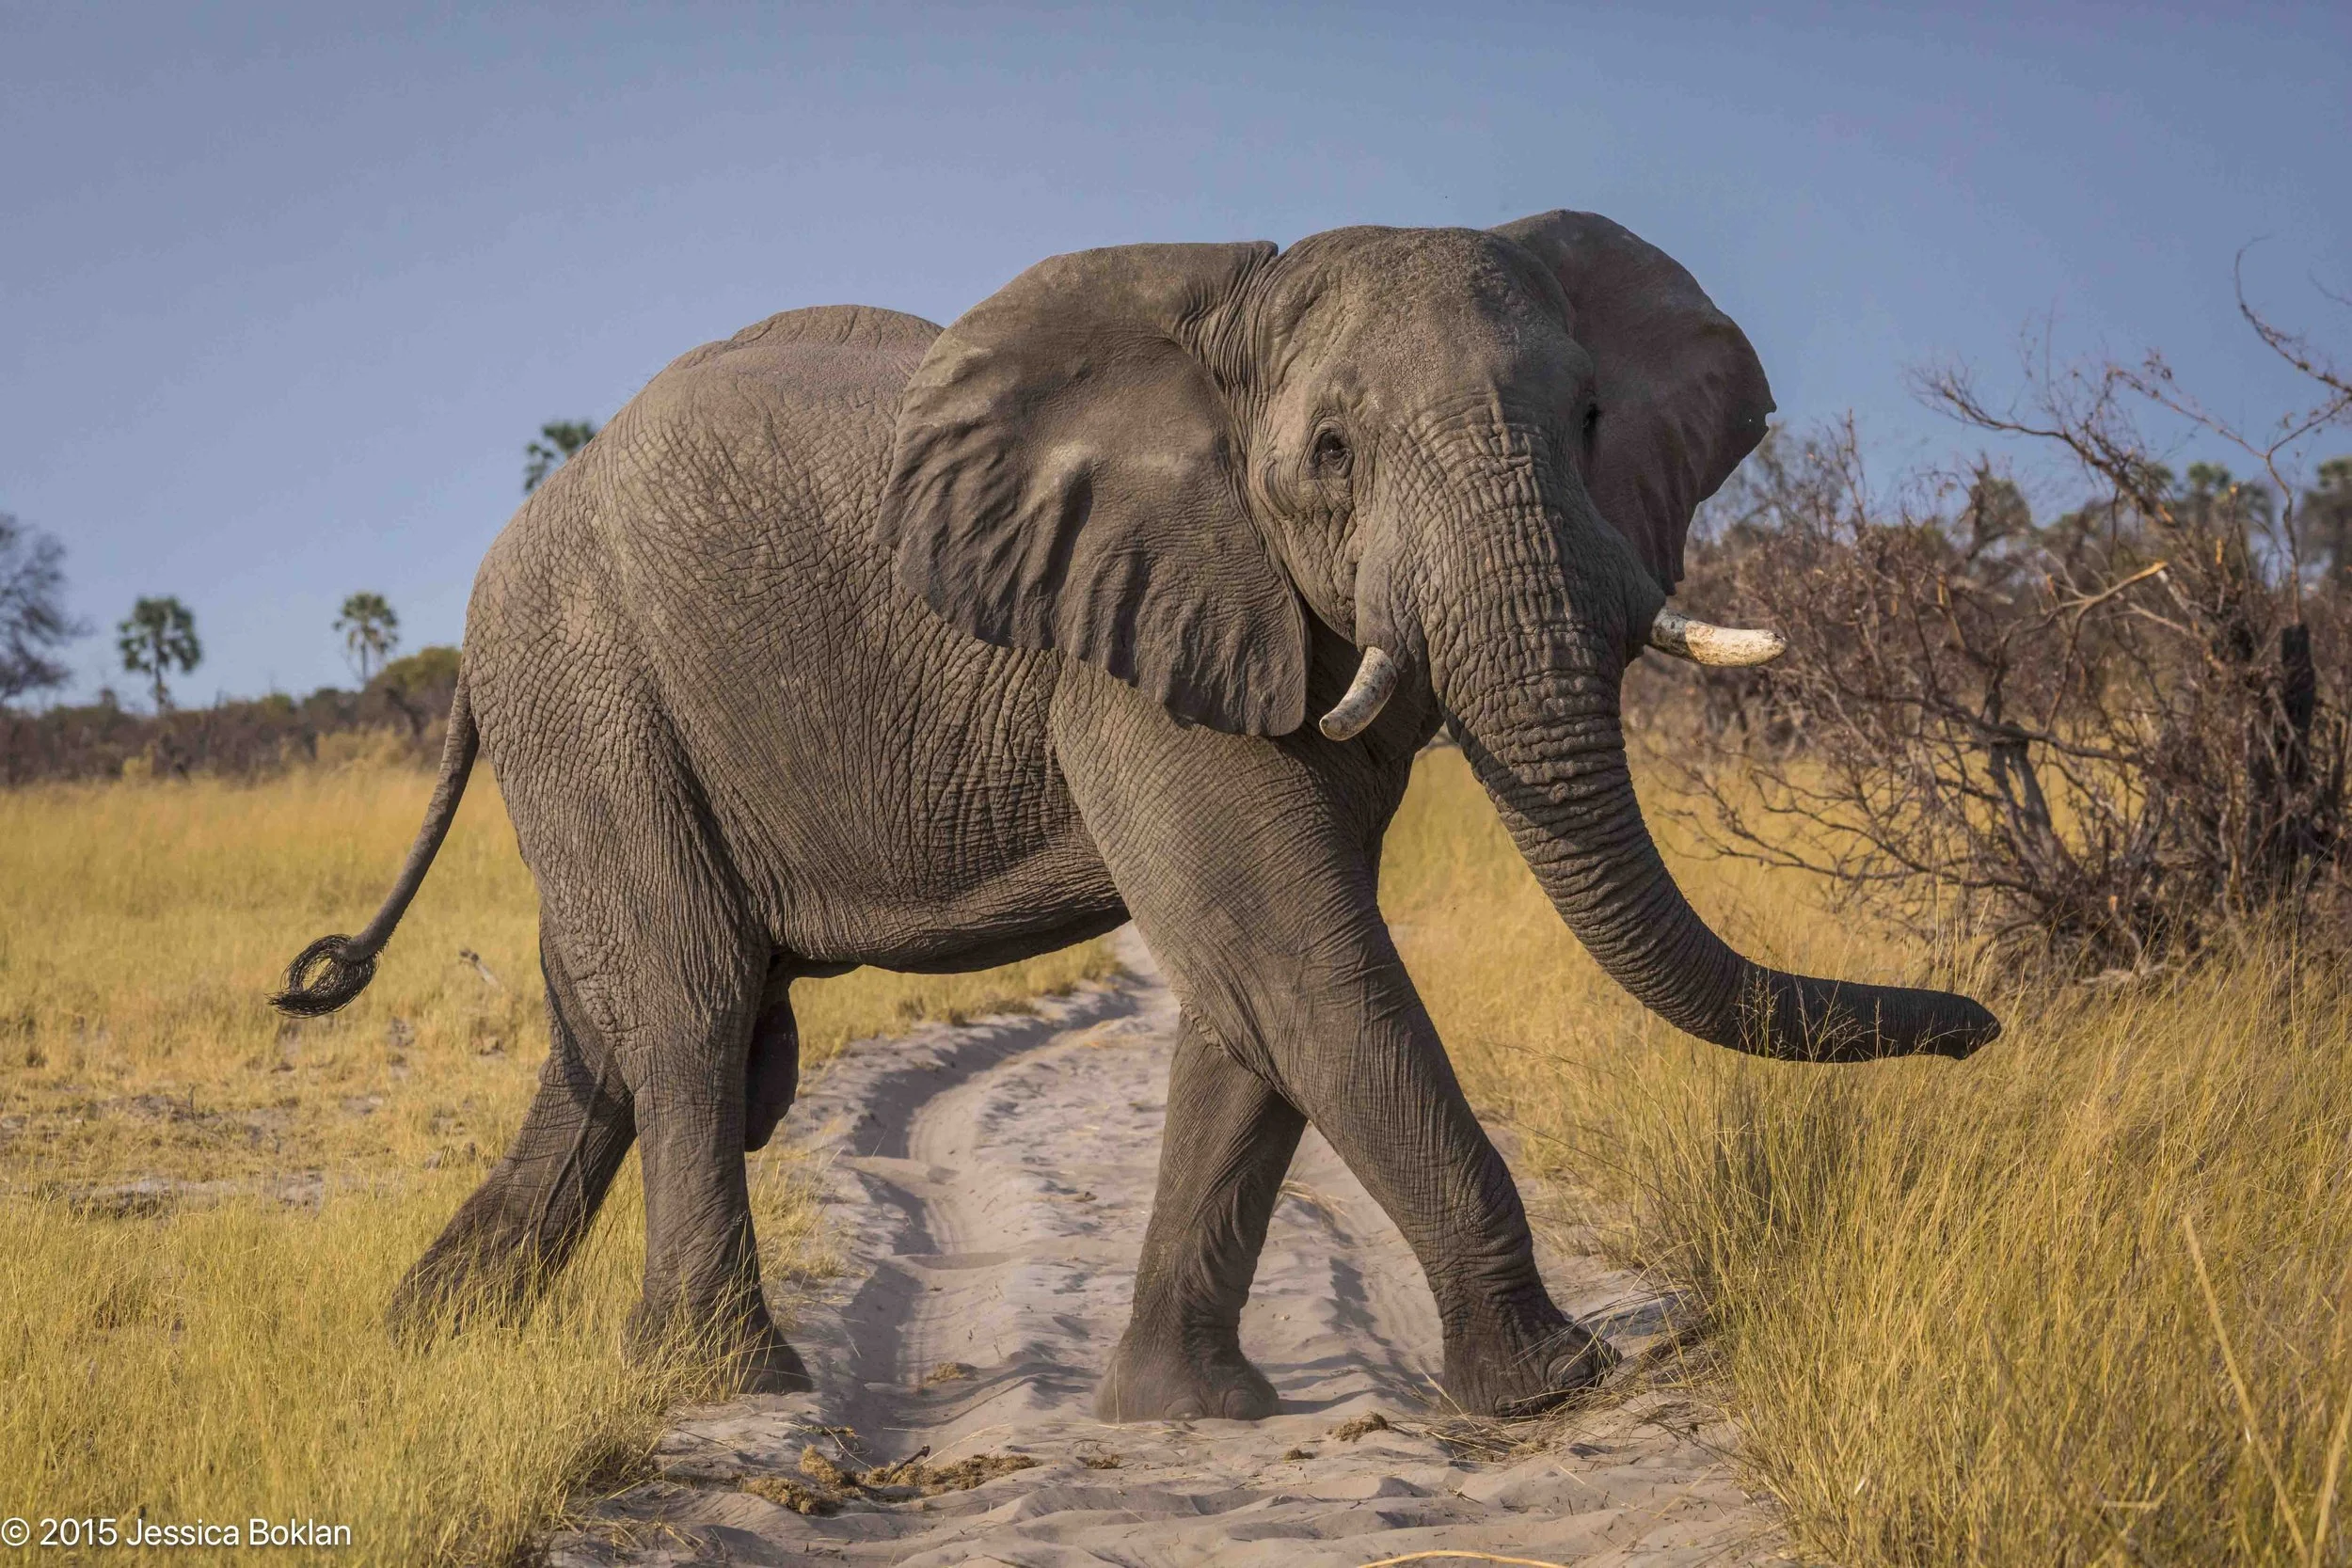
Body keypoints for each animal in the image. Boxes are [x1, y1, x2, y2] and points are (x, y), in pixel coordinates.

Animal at [274, 210, 1999, 1422]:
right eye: (1329, 454)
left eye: (1588, 424)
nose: (1986, 1029)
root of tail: (500, 564)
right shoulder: (1134, 633)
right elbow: (1301, 953)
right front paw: (1555, 1383)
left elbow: (1252, 995)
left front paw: (1186, 1410)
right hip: (587, 677)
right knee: (692, 1009)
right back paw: (723, 1381)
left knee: (607, 1034)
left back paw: (426, 1343)